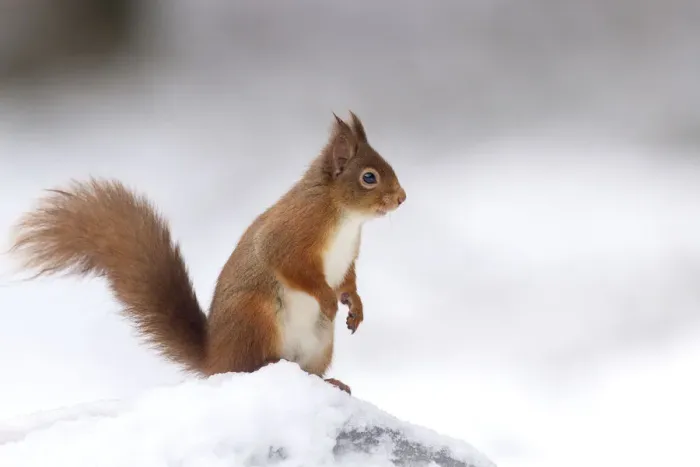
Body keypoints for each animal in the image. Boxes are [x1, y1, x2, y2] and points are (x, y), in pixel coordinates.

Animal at [9, 111, 406, 395]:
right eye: (369, 177)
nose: (402, 198)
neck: (345, 217)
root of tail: (214, 359)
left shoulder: (348, 256)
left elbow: (349, 279)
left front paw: (355, 305)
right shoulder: (290, 236)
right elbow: (291, 266)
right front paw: (326, 297)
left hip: (320, 345)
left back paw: (329, 382)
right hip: (256, 315)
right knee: (250, 366)